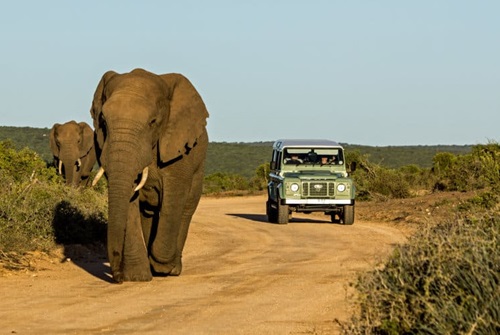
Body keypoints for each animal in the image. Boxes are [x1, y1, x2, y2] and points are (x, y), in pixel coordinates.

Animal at [89, 68, 208, 284]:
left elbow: (173, 197)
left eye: (153, 122)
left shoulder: (179, 151)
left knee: (186, 209)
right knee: (148, 213)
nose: (117, 277)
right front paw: (137, 277)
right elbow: (130, 202)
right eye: (103, 122)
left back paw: (172, 269)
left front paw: (162, 266)